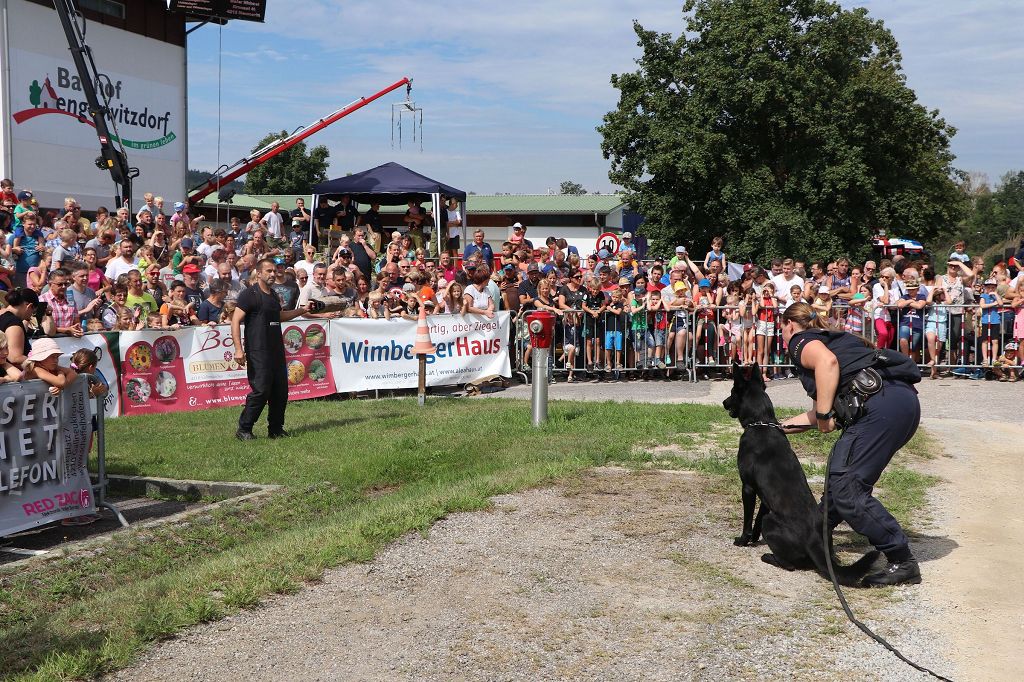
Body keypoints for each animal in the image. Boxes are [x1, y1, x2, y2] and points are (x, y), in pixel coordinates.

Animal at [720, 360, 880, 585]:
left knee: (789, 565)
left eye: (732, 392)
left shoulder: (749, 488)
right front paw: (754, 538)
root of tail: (814, 542)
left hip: (772, 523)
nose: (724, 402)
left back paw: (769, 556)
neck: (761, 423)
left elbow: (749, 519)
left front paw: (743, 540)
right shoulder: (765, 497)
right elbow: (758, 517)